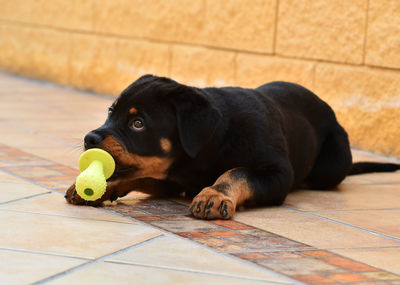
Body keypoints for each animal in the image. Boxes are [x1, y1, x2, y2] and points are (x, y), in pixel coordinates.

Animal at [65, 74, 396, 219]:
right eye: (111, 111)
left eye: (138, 123)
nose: (90, 139)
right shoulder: (174, 179)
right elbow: (139, 175)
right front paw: (101, 187)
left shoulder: (278, 174)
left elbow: (238, 172)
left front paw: (214, 194)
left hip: (331, 166)